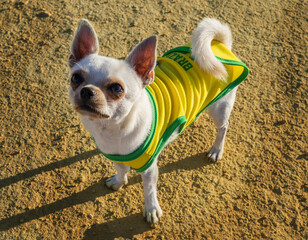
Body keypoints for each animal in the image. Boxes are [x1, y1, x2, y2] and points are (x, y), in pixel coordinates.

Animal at [68, 17, 249, 224]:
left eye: (116, 88)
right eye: (75, 78)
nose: (87, 90)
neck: (113, 129)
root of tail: (220, 45)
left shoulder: (149, 169)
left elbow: (149, 191)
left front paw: (151, 209)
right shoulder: (115, 156)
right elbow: (121, 170)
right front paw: (119, 182)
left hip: (220, 108)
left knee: (223, 128)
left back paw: (216, 150)